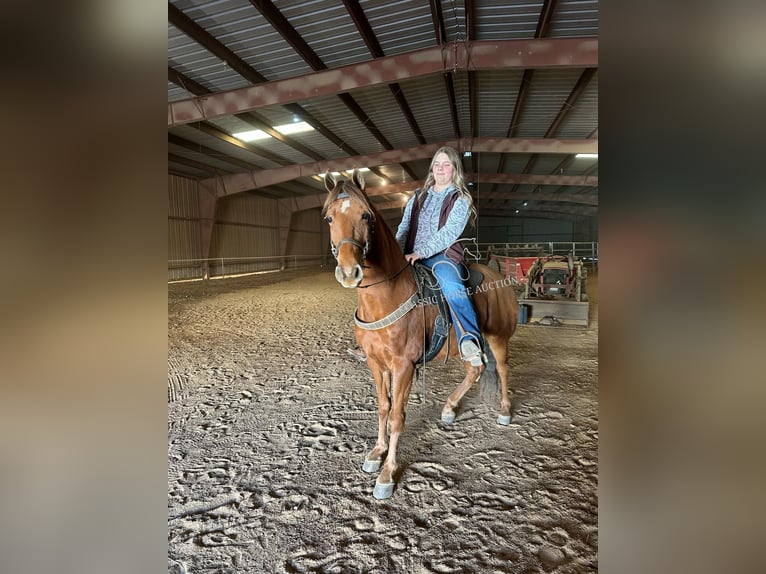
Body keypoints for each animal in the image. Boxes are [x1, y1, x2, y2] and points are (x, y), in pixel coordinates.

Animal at [320, 170, 520, 500]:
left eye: (366, 215)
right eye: (329, 217)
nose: (349, 272)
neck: (386, 296)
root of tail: (498, 276)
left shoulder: (404, 367)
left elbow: (397, 416)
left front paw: (387, 474)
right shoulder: (376, 363)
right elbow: (383, 408)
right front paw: (376, 453)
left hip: (498, 338)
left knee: (502, 369)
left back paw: (504, 411)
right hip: (466, 344)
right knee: (475, 369)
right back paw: (450, 408)